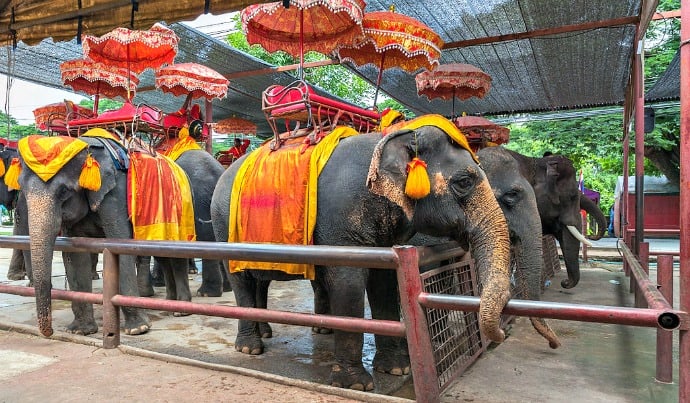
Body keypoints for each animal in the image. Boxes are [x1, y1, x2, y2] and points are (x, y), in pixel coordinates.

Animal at [210, 123, 510, 392]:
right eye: (464, 182)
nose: (502, 335)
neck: (390, 138)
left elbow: (383, 283)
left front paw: (396, 369)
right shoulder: (342, 223)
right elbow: (349, 285)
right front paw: (355, 384)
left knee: (260, 280)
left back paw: (266, 332)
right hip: (224, 226)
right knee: (241, 279)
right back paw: (250, 348)